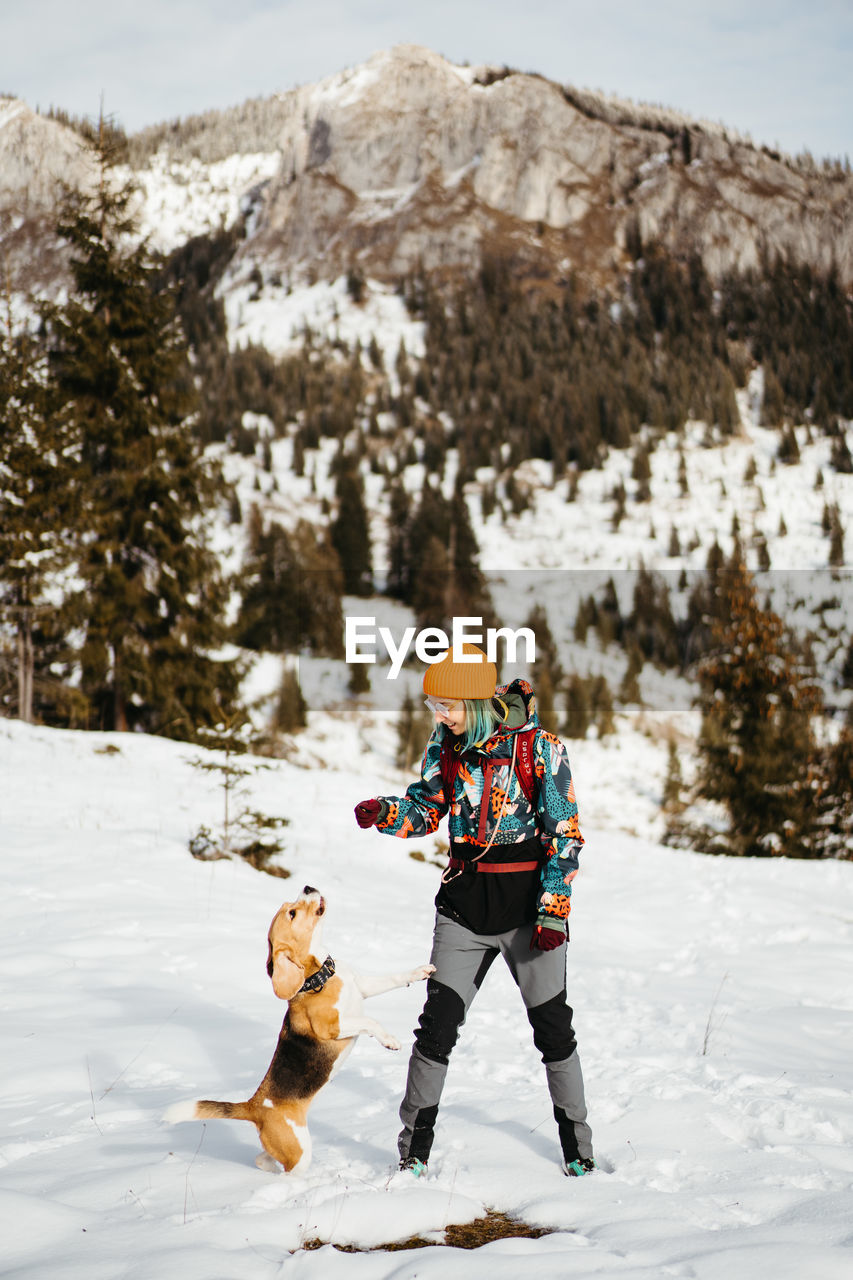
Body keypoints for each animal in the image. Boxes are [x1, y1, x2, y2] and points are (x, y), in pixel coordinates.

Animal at [165, 890, 432, 1172]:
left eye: (290, 905)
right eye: (292, 913)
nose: (307, 887)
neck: (321, 975)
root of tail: (254, 1106)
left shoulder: (364, 987)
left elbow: (393, 979)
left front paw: (420, 972)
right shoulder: (331, 1025)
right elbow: (371, 1021)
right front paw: (389, 1040)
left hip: (283, 1146)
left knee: (262, 1159)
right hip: (300, 1150)